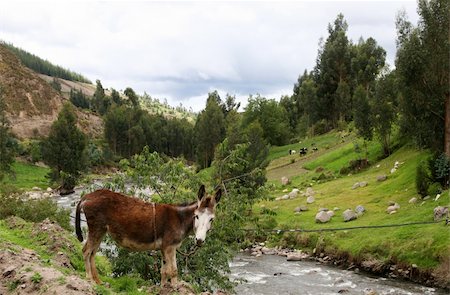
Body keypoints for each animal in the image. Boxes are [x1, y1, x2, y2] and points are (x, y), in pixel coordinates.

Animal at [75, 185, 221, 286]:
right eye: (197, 216)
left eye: (211, 219)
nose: (199, 241)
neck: (180, 219)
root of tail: (88, 196)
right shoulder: (170, 247)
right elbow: (173, 271)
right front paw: (175, 288)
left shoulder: (163, 248)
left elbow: (163, 272)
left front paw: (163, 288)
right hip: (96, 228)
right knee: (86, 251)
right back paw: (90, 280)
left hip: (101, 230)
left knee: (92, 253)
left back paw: (98, 281)